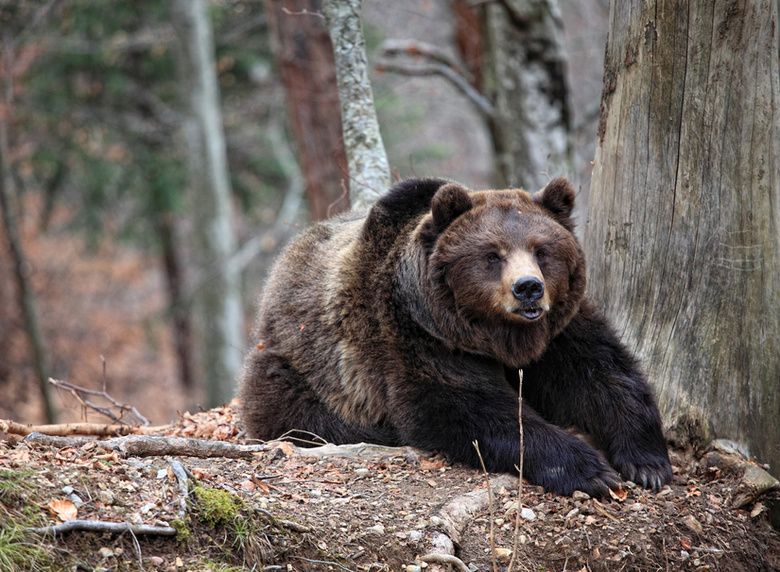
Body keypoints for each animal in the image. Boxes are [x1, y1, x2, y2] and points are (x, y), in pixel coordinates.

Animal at [241, 175, 672, 496]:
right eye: (493, 254)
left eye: (541, 250)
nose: (528, 288)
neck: (498, 337)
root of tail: (281, 266)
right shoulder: (417, 335)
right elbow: (464, 407)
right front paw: (590, 470)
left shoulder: (556, 330)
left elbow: (600, 373)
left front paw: (647, 462)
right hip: (300, 363)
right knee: (296, 410)